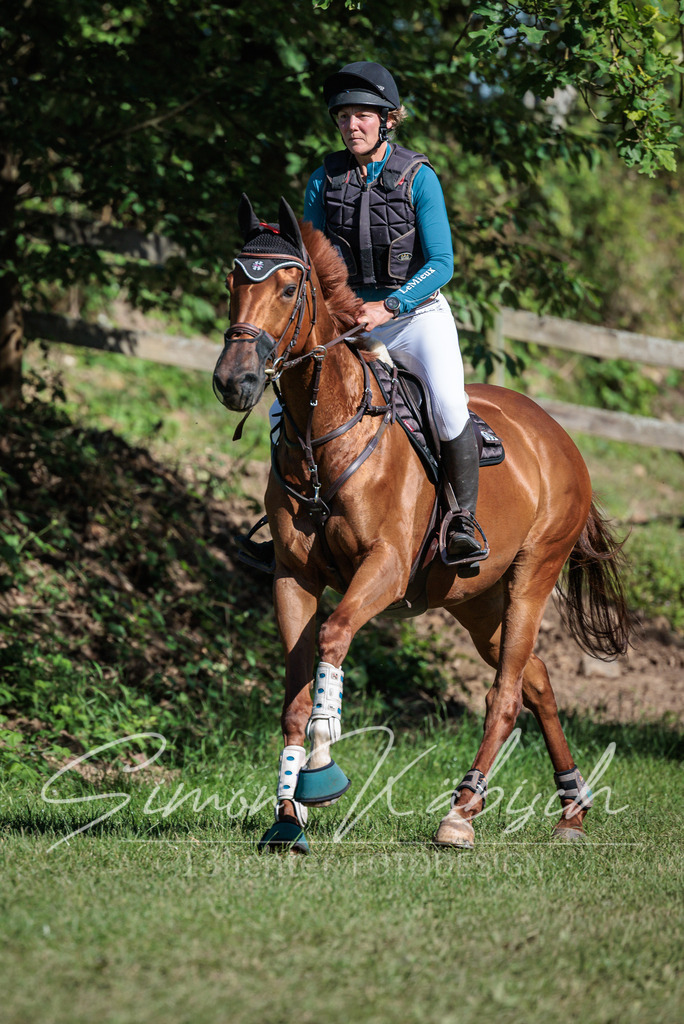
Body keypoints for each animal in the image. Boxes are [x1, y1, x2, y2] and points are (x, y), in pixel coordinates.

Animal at [213, 194, 630, 854]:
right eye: (233, 282)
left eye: (287, 287)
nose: (234, 382)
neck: (325, 435)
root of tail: (557, 434)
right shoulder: (292, 577)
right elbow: (294, 695)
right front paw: (286, 817)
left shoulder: (383, 568)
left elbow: (334, 638)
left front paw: (321, 765)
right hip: (475, 599)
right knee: (534, 677)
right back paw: (571, 810)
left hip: (533, 575)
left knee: (505, 693)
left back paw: (462, 812)